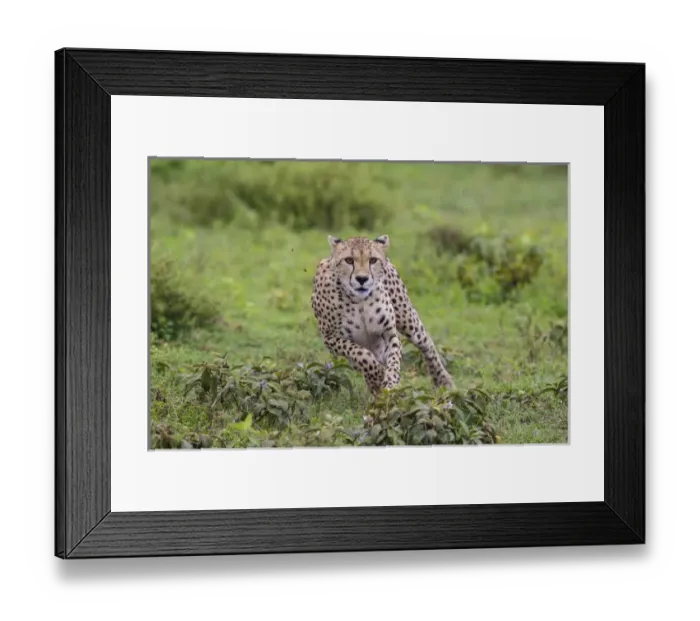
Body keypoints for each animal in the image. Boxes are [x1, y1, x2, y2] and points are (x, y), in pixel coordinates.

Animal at [311, 234, 455, 395]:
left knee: (426, 343)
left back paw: (443, 380)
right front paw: (378, 375)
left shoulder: (389, 333)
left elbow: (394, 360)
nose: (362, 279)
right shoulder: (331, 339)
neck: (359, 300)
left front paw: (391, 382)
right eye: (349, 260)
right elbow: (362, 354)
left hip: (407, 318)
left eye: (373, 260)